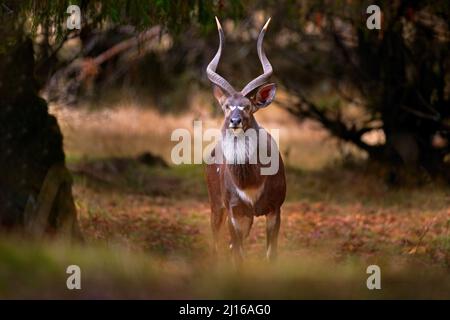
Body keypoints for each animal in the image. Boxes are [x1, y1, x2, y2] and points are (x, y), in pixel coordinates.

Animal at [206, 17, 286, 262]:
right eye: (226, 106)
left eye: (248, 106)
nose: (235, 121)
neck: (251, 183)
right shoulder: (235, 212)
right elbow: (238, 257)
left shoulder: (275, 209)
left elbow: (271, 255)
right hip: (216, 206)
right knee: (218, 245)